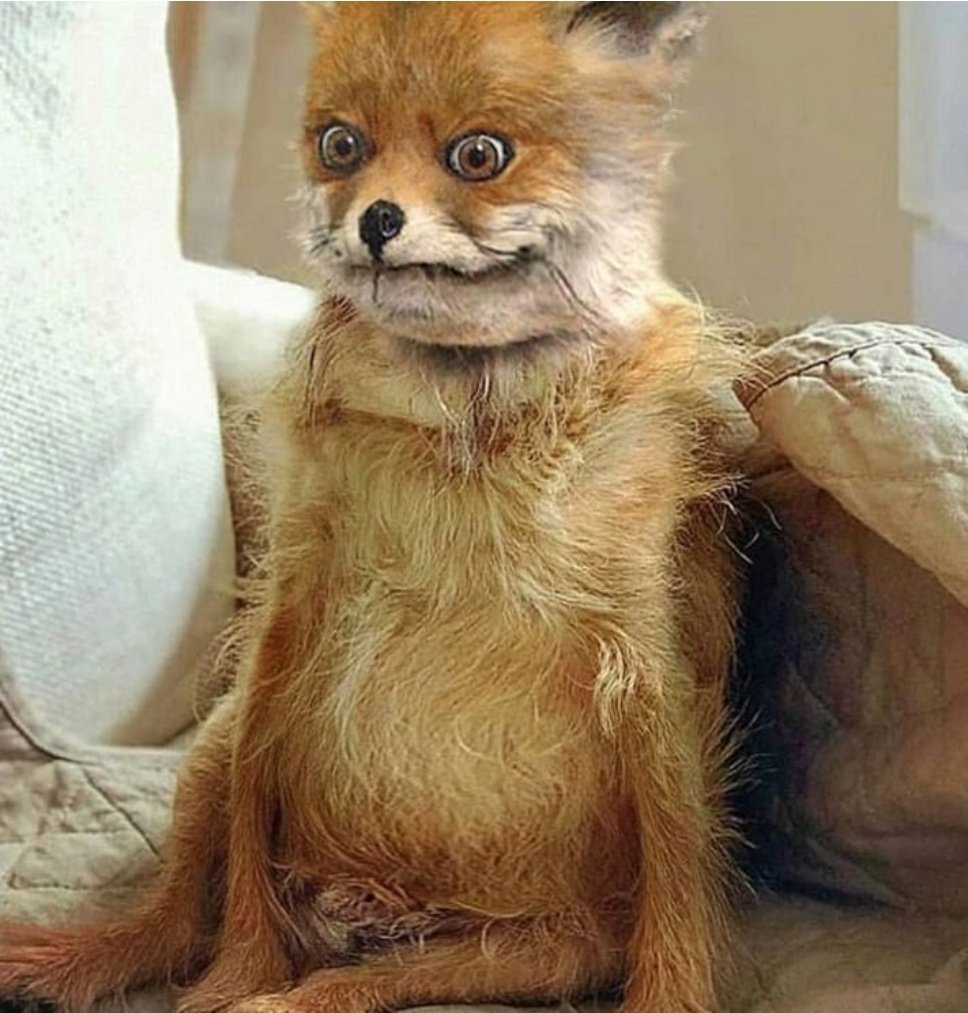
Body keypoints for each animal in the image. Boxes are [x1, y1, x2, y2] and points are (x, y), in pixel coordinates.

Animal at [0, 3, 747, 1012]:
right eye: (339, 146)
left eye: (480, 156)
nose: (377, 219)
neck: (467, 411)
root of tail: (378, 907)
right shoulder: (289, 614)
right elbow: (248, 850)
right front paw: (233, 974)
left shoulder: (647, 671)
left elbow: (677, 877)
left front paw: (673, 993)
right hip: (210, 755)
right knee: (175, 919)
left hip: (522, 955)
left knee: (349, 984)